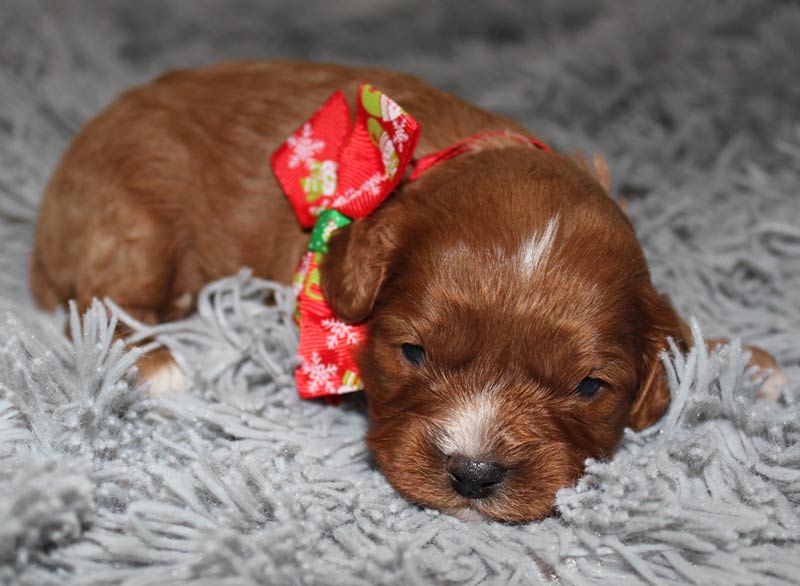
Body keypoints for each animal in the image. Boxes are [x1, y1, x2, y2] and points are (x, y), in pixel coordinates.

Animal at [31, 61, 780, 524]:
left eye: (589, 387)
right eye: (413, 353)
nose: (474, 475)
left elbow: (677, 333)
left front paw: (744, 361)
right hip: (134, 219)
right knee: (95, 301)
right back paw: (156, 362)